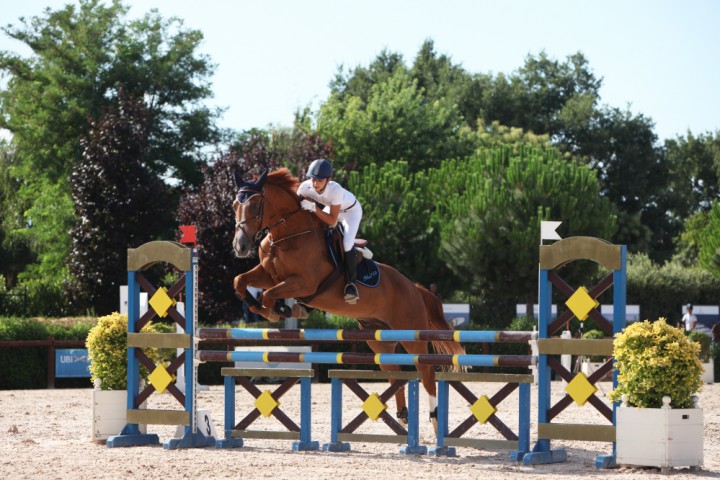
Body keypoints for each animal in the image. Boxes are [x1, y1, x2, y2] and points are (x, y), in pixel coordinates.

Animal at [232, 168, 466, 424]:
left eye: (255, 205)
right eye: (234, 205)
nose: (240, 247)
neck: (287, 235)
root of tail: (414, 287)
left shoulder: (304, 283)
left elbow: (269, 295)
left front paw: (281, 311)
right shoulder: (268, 275)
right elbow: (240, 281)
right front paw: (266, 309)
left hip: (411, 334)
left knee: (426, 371)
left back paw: (433, 419)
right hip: (379, 339)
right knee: (395, 373)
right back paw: (403, 414)